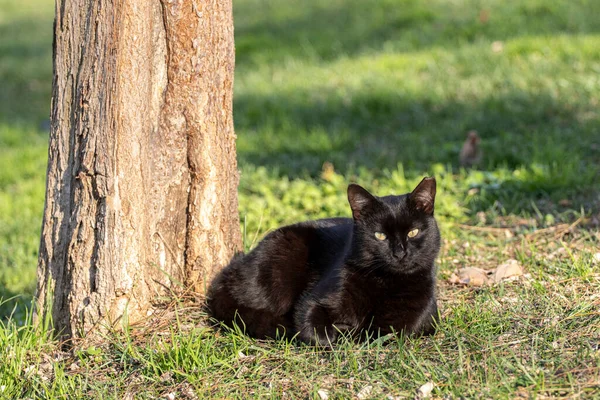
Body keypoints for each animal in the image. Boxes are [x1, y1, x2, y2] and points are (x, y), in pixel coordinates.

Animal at [206, 177, 440, 346]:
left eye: (413, 232)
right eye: (380, 235)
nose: (400, 253)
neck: (385, 282)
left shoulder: (419, 318)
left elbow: (385, 333)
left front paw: (352, 331)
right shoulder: (313, 302)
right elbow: (316, 331)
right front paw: (342, 332)